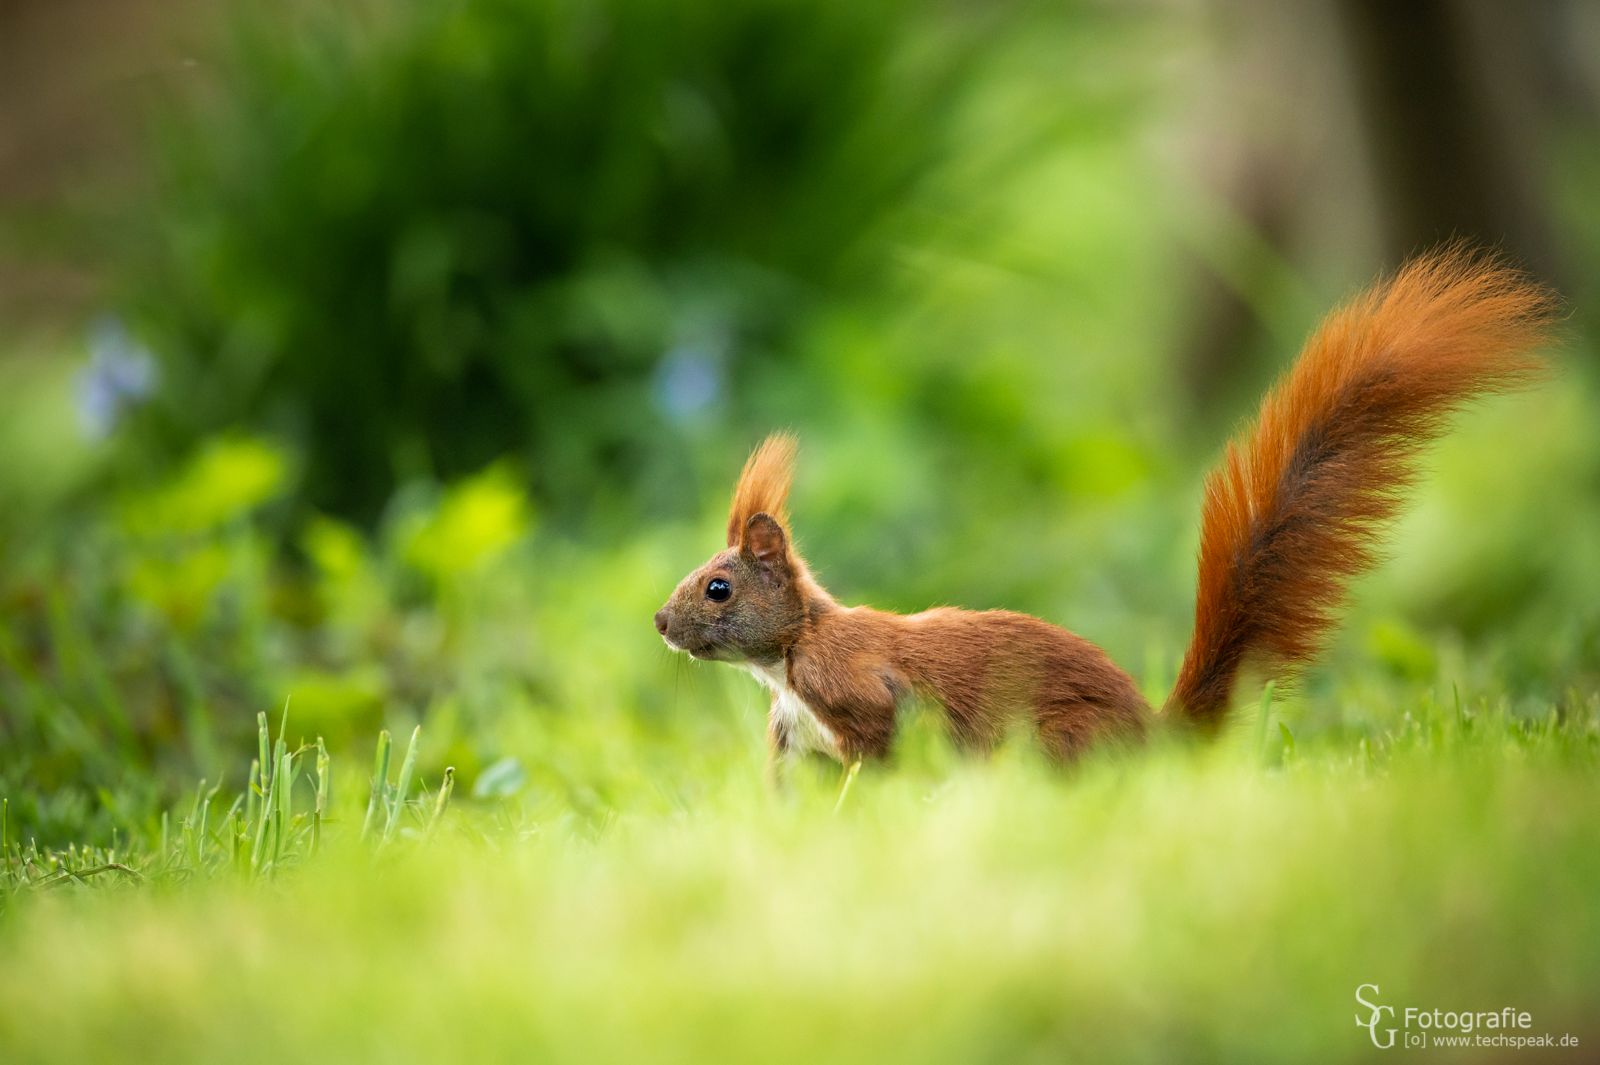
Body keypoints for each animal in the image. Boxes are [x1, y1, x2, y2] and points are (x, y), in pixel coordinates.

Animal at [653, 248, 1556, 775]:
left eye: (719, 588)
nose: (661, 623)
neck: (787, 661)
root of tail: (1153, 741)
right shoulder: (794, 745)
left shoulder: (863, 695)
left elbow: (882, 759)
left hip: (1053, 741)